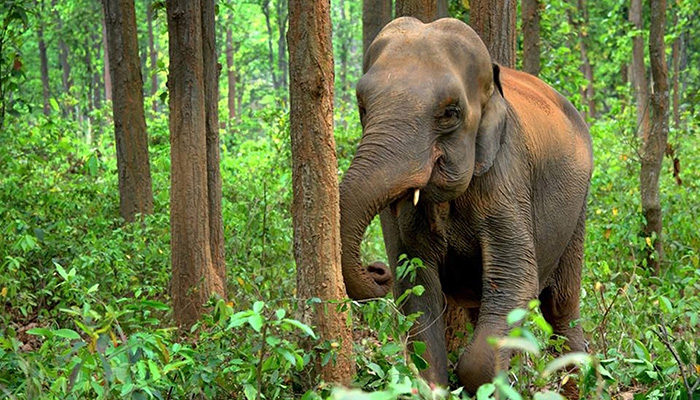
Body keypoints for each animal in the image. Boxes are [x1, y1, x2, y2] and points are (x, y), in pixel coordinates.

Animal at [339, 17, 593, 393]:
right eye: (362, 107)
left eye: (450, 112)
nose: (377, 270)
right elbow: (417, 288)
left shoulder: (506, 176)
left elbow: (518, 279)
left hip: (577, 211)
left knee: (561, 308)